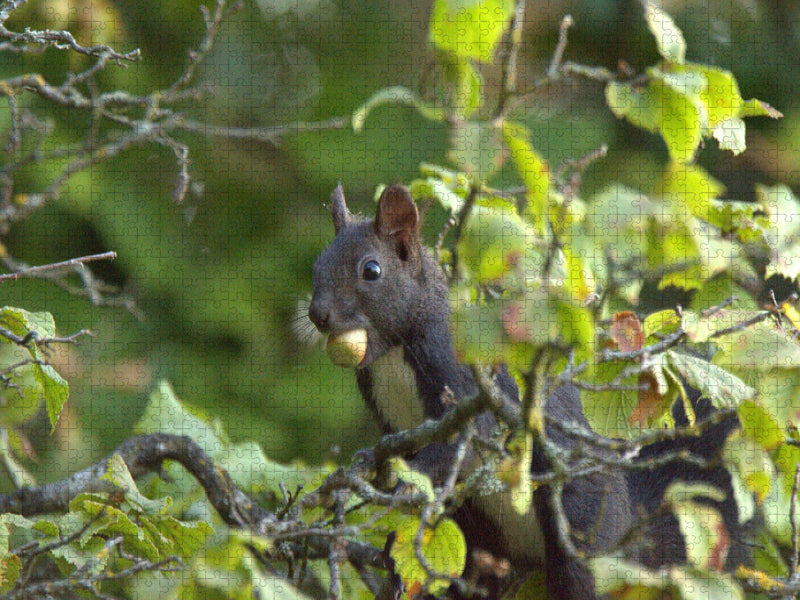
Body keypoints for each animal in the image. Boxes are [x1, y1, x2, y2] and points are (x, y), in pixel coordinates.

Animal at [308, 183, 747, 599]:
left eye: (371, 270)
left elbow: (464, 440)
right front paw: (373, 468)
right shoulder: (386, 411)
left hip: (581, 530)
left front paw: (408, 480)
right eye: (318, 265)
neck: (393, 351)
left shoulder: (462, 375)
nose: (318, 315)